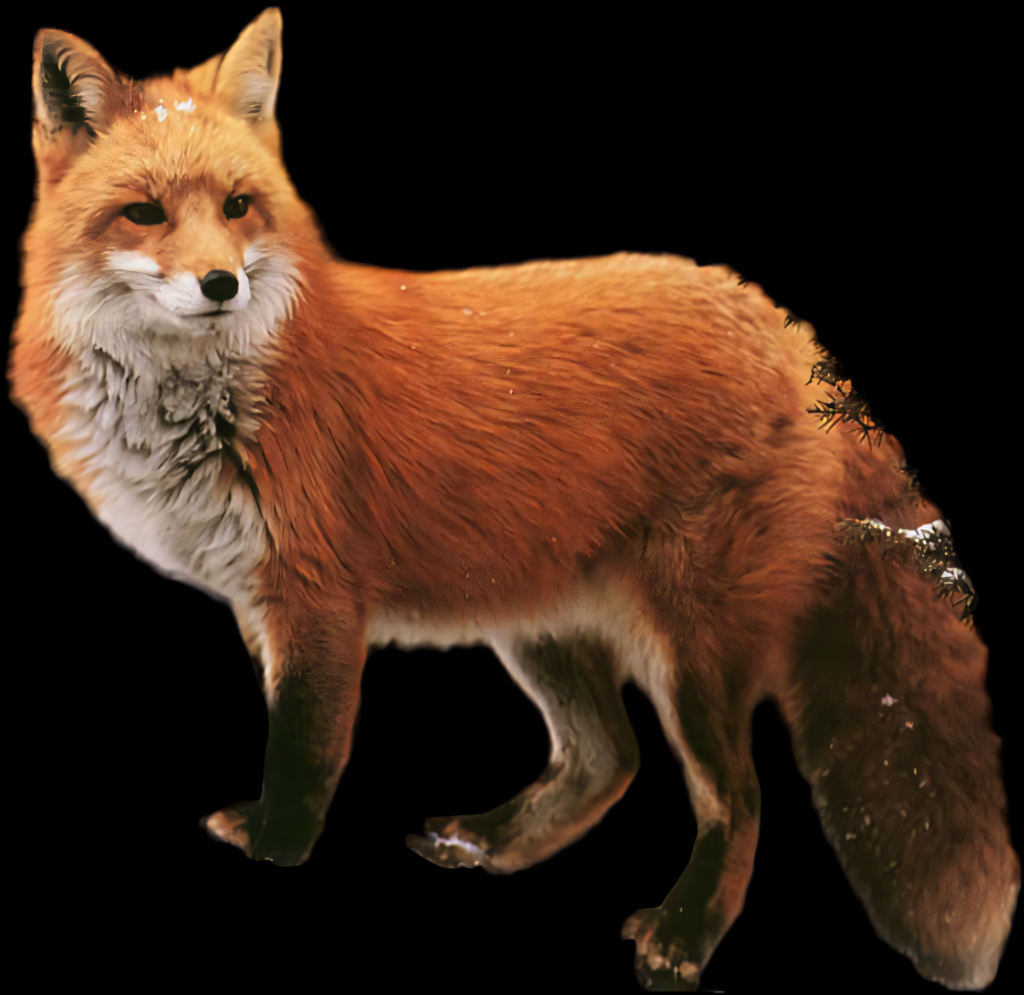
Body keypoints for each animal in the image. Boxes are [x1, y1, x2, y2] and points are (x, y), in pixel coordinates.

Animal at [7, 7, 1018, 991]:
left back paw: (684, 939)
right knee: (608, 759)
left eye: (237, 206)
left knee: (739, 798)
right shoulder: (258, 602)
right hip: (536, 625)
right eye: (143, 213)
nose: (223, 283)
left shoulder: (318, 598)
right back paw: (494, 844)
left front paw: (274, 856)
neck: (213, 400)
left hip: (690, 654)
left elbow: (303, 754)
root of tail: (786, 326)